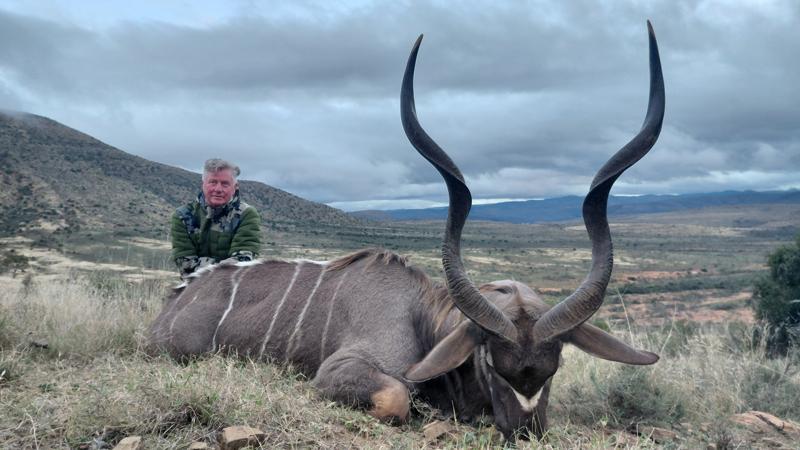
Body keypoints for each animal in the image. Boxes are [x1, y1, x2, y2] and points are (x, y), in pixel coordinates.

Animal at [149, 21, 664, 440]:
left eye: (554, 367)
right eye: (491, 364)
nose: (525, 430)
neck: (422, 320)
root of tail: (178, 299)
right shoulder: (344, 370)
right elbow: (396, 397)